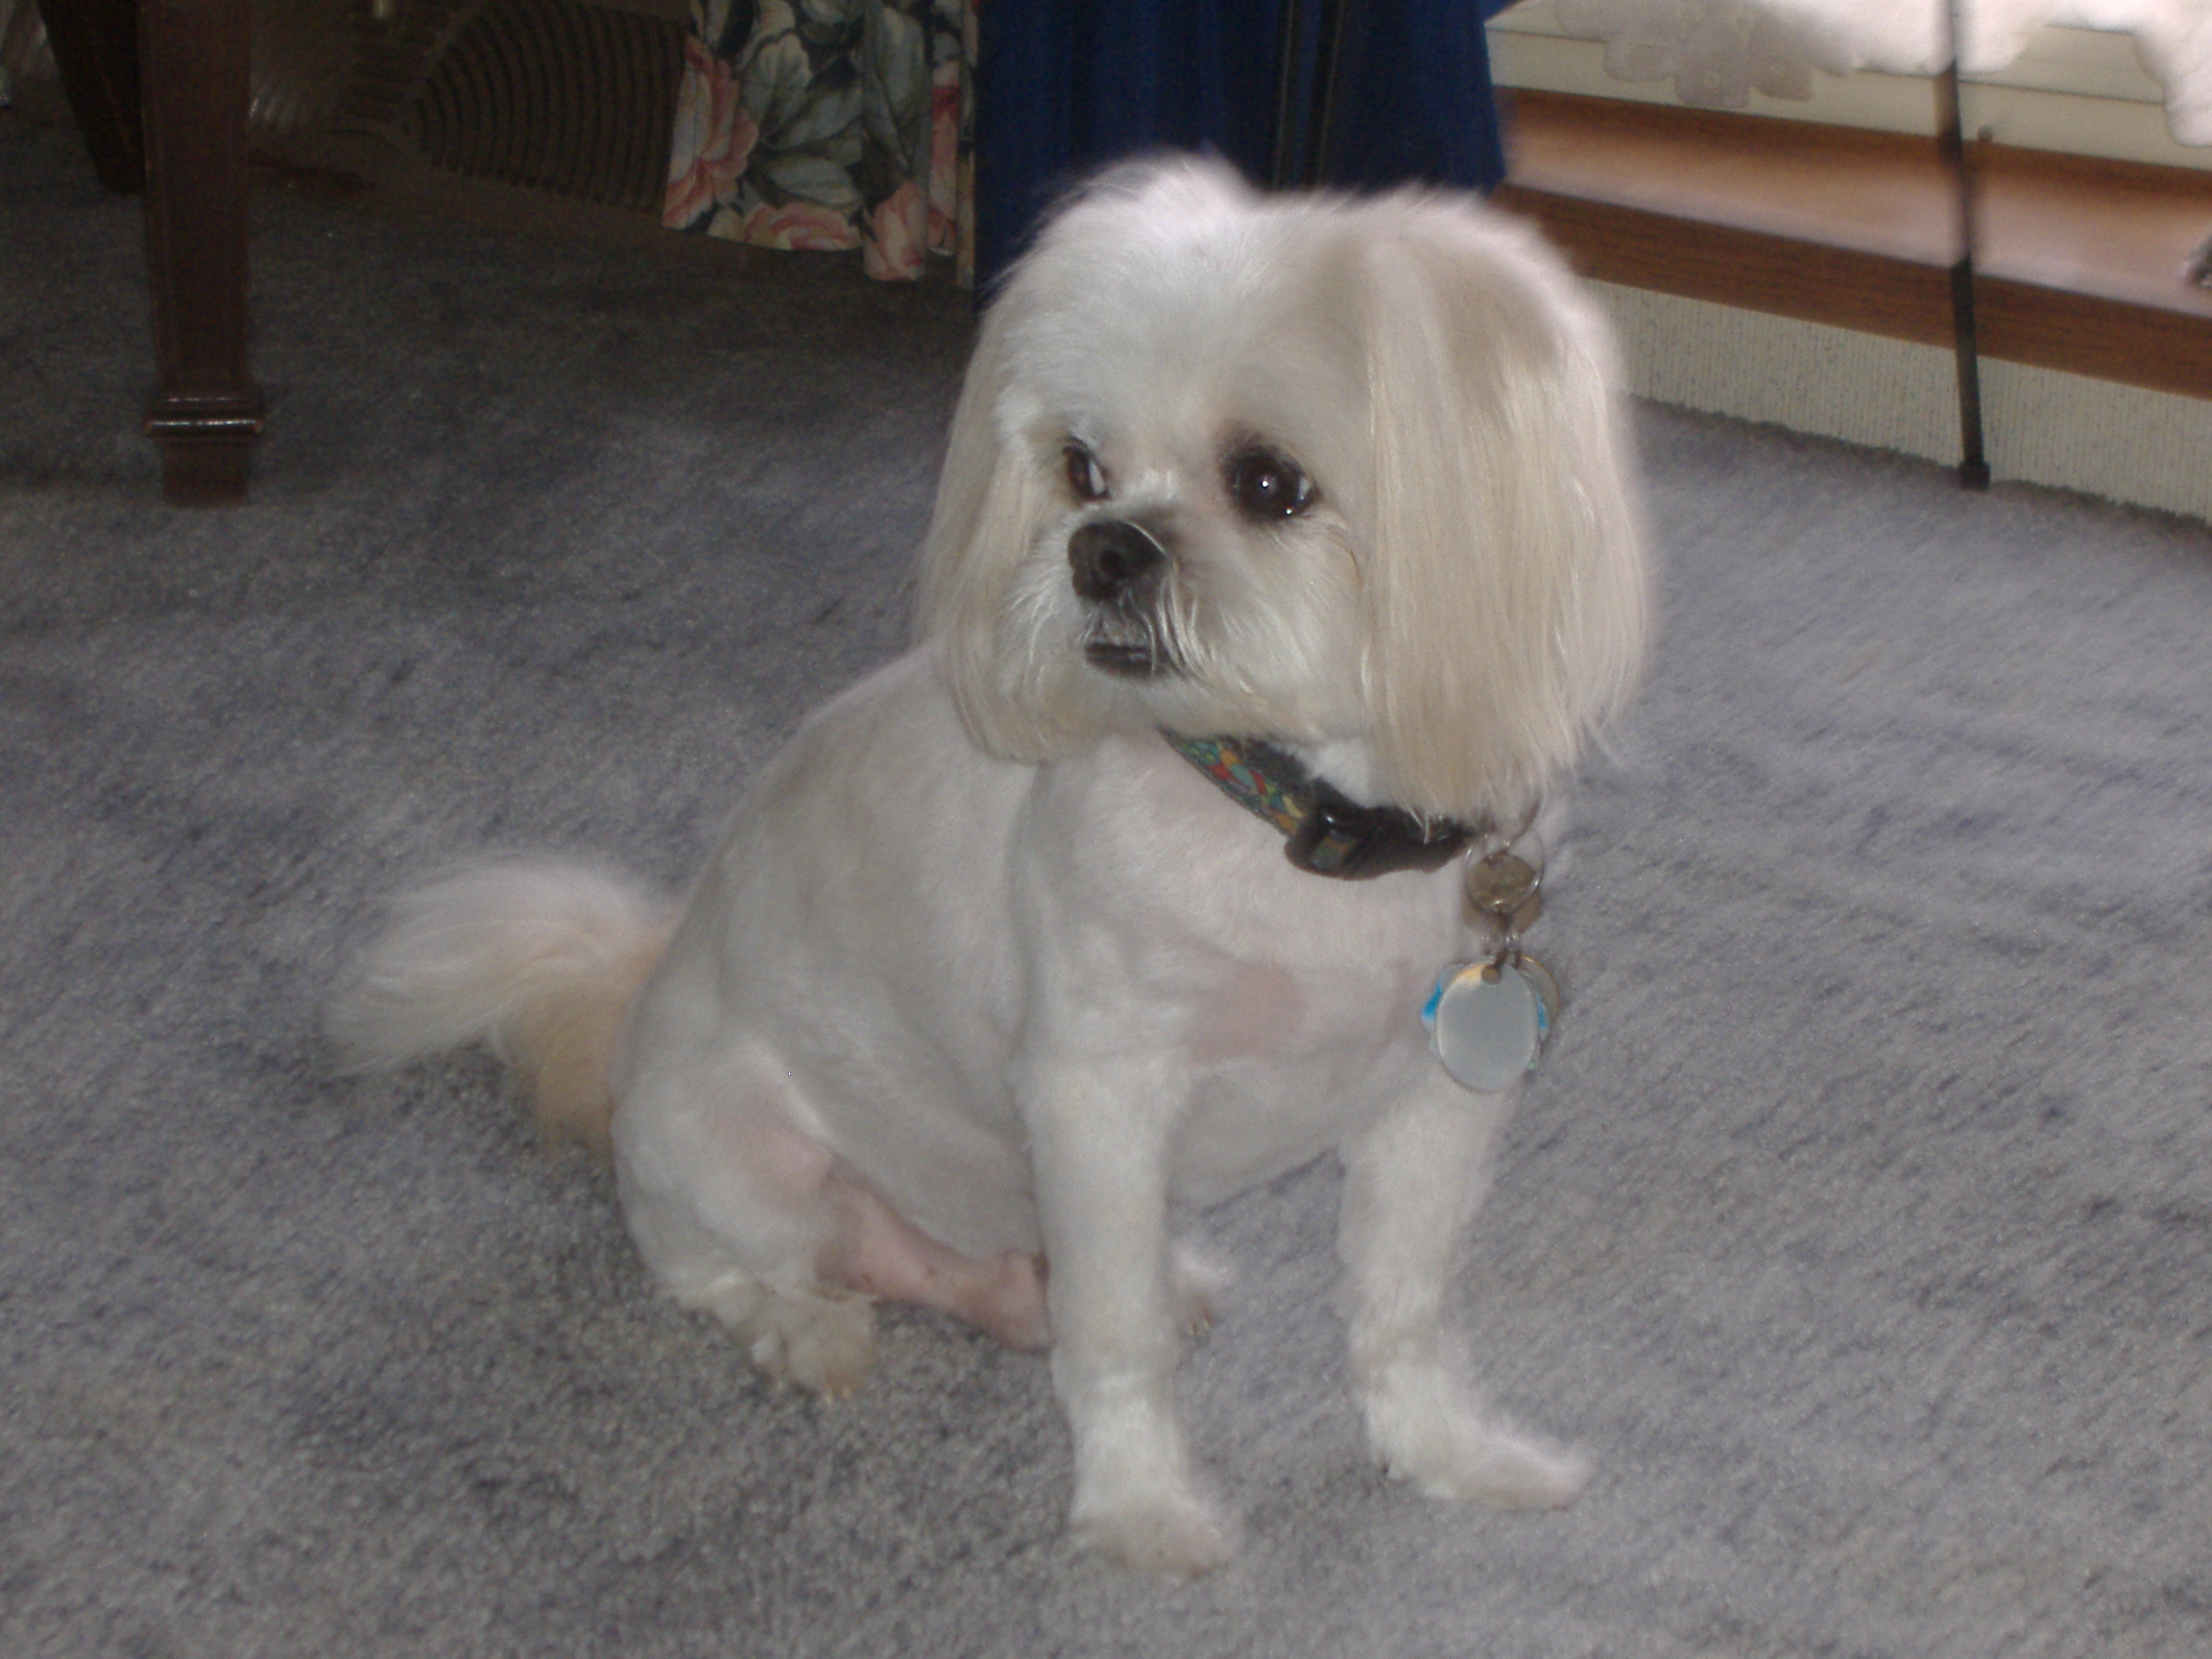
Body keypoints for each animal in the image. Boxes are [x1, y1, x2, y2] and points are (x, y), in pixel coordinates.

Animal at [331, 157, 1648, 1577]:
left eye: (1270, 482)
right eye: (1081, 467)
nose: (1103, 547)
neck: (1285, 822)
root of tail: (635, 1006)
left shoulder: (1432, 1106)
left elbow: (1402, 1310)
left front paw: (1453, 1457)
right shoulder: (1099, 1101)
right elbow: (1115, 1342)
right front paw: (1141, 1514)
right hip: (746, 1162)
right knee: (724, 1270)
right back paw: (811, 1328)